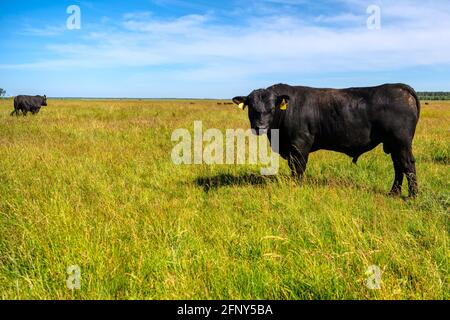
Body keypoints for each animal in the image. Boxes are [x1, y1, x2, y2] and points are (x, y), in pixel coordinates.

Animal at [234, 84, 420, 196]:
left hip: (401, 142)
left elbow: (299, 168)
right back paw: (394, 193)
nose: (260, 126)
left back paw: (412, 196)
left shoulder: (300, 145)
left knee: (407, 164)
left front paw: (298, 187)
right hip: (393, 144)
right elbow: (293, 168)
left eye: (272, 108)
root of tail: (398, 87)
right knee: (398, 166)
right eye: (251, 108)